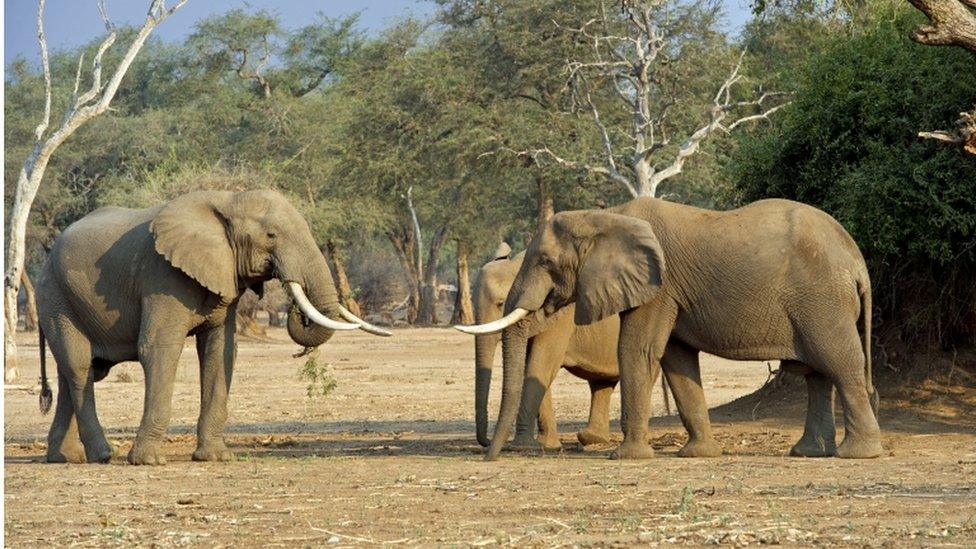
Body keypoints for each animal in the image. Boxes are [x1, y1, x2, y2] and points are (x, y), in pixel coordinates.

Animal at [36, 188, 390, 462]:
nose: (294, 308)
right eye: (271, 235)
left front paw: (216, 457)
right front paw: (149, 461)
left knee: (72, 371)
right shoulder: (161, 275)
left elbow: (221, 350)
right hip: (55, 297)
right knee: (80, 367)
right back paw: (102, 455)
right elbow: (159, 348)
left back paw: (65, 458)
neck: (228, 201)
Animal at [468, 245, 620, 450]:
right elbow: (532, 367)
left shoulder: (562, 316)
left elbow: (541, 364)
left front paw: (522, 446)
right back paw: (592, 438)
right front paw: (547, 445)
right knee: (602, 381)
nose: (488, 442)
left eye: (500, 304)